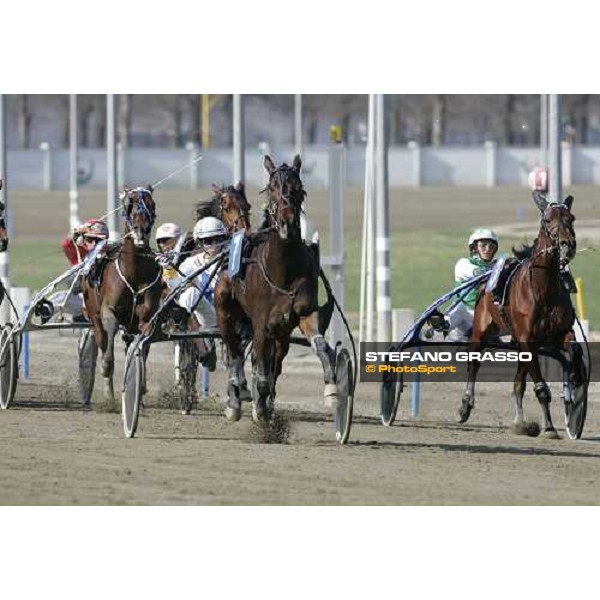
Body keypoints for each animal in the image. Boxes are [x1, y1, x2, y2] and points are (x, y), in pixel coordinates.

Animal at [82, 186, 162, 404]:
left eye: (152, 204)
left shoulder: (146, 319)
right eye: (129, 204)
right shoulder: (109, 312)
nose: (140, 231)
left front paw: (139, 388)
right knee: (102, 341)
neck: (134, 272)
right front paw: (109, 392)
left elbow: (142, 349)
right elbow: (108, 354)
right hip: (94, 316)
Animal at [214, 157, 338, 424]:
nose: (287, 221)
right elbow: (259, 370)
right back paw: (235, 398)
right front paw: (259, 409)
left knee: (274, 361)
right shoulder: (261, 324)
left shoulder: (304, 313)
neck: (283, 269)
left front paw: (332, 390)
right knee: (233, 352)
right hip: (225, 311)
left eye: (299, 188)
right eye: (271, 188)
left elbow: (322, 347)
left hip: (281, 333)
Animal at [458, 190, 580, 438]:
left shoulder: (561, 332)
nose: (567, 245)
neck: (543, 290)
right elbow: (541, 388)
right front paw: (550, 427)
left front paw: (573, 387)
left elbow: (573, 351)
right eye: (547, 220)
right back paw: (466, 405)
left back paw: (520, 422)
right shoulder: (527, 338)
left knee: (518, 383)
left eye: (570, 218)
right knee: (474, 363)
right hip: (481, 329)